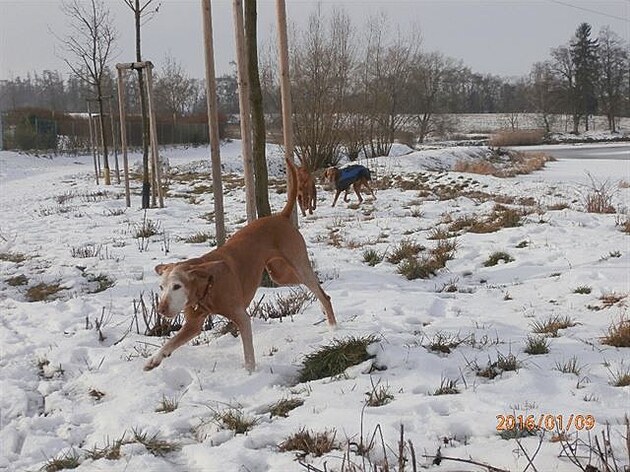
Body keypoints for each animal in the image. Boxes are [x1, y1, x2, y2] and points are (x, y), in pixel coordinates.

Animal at [146, 159, 338, 372]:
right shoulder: (193, 324)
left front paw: (250, 373)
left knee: (320, 291)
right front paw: (154, 360)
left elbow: (248, 354)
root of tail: (281, 216)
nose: (161, 309)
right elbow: (170, 342)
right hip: (280, 274)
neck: (208, 285)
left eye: (177, 286)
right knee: (319, 290)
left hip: (297, 265)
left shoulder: (241, 317)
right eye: (161, 287)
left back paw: (333, 327)